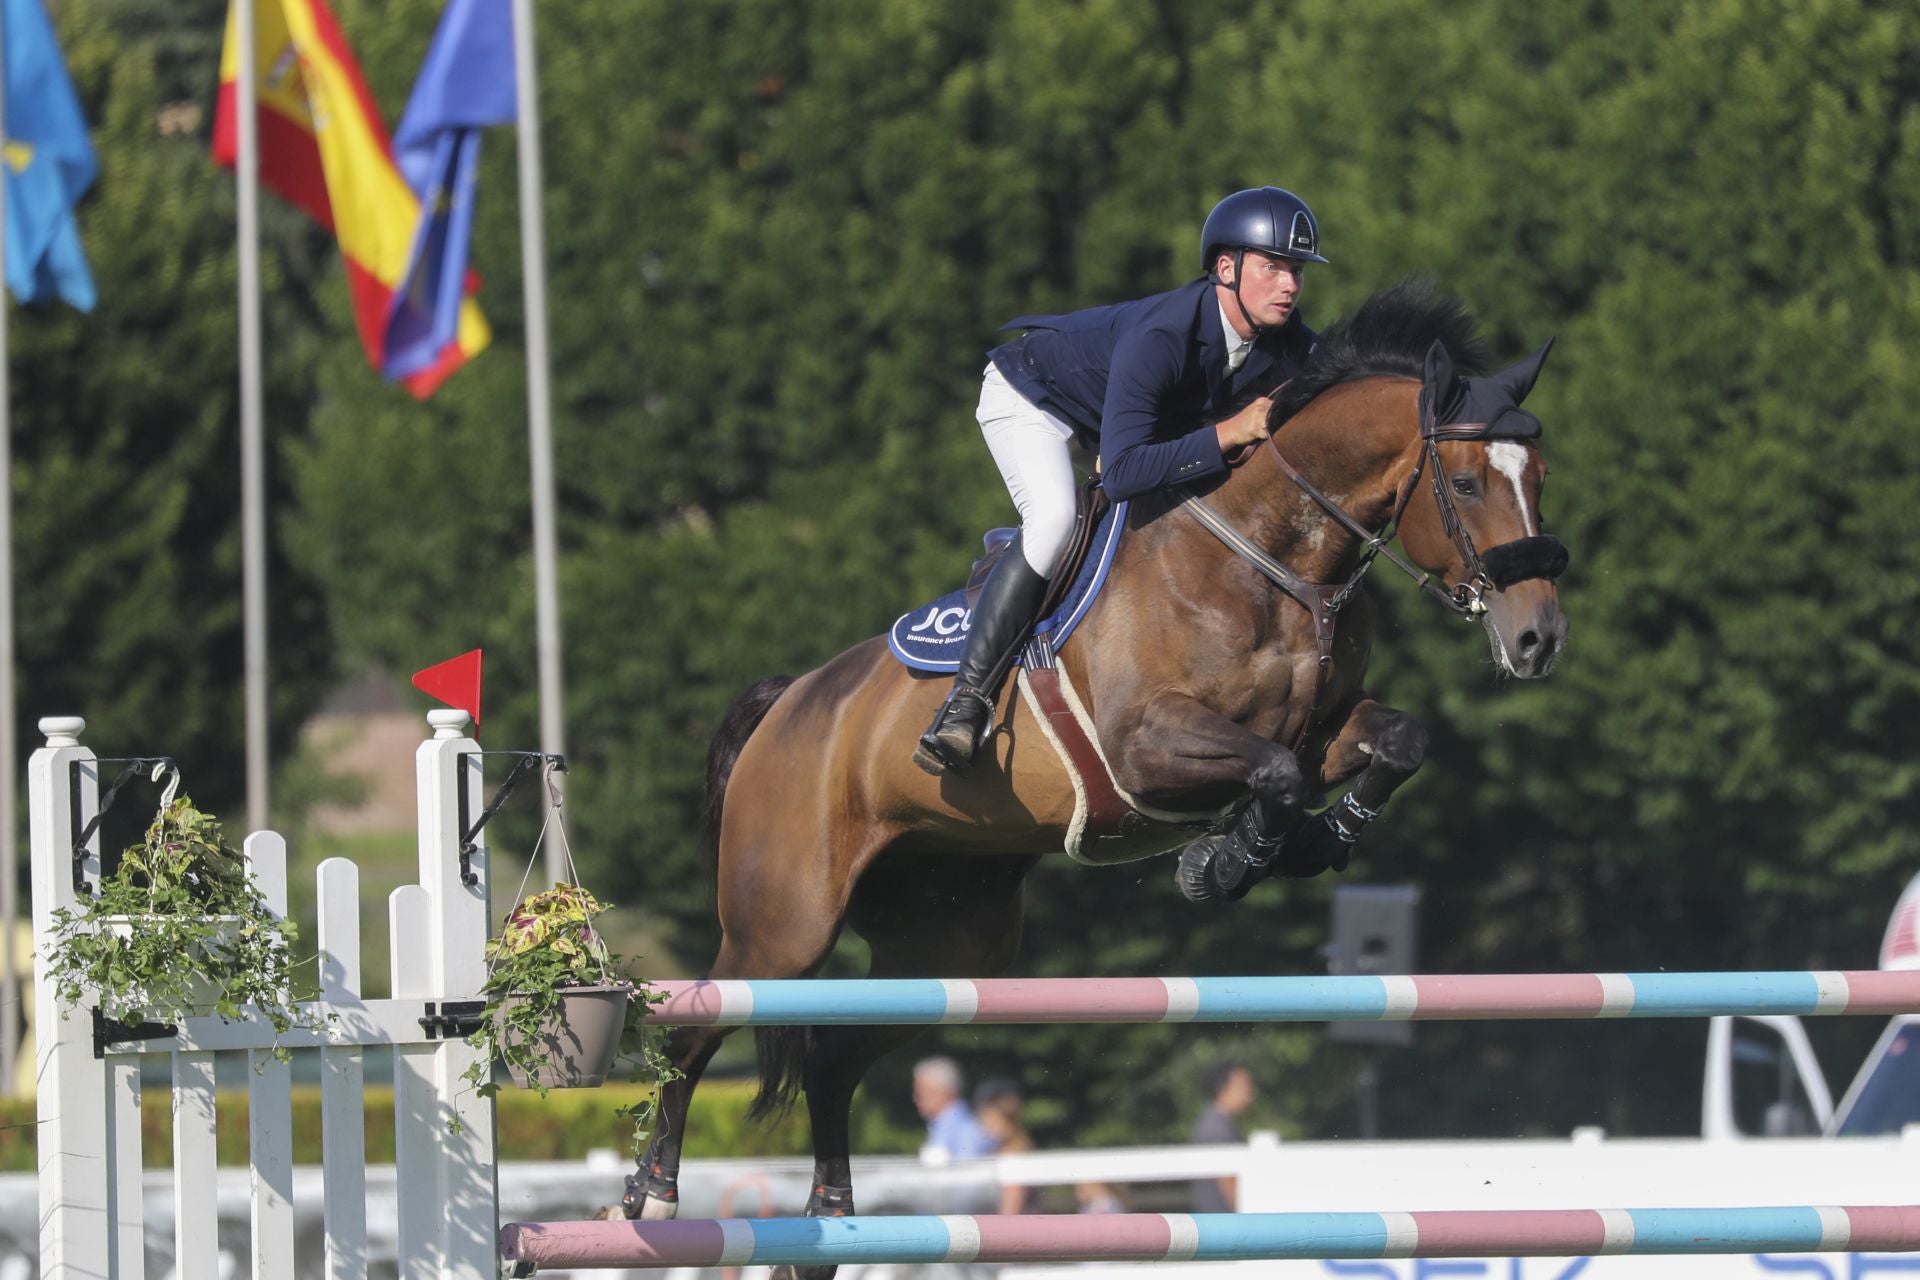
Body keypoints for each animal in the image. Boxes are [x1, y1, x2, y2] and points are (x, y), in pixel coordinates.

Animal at [622, 278, 1566, 1274]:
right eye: (1467, 482)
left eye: (1540, 478)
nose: (1538, 639)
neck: (1277, 557)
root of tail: (789, 701)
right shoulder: (1143, 748)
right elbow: (1268, 773)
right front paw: (1223, 862)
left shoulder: (1323, 729)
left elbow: (1394, 743)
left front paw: (1309, 841)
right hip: (784, 926)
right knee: (692, 1030)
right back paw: (653, 1192)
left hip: (949, 946)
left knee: (834, 1061)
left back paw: (830, 1221)